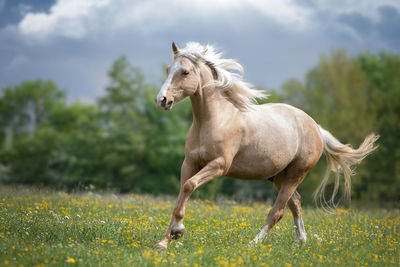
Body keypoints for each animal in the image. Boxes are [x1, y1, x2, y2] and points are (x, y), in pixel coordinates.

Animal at [154, 42, 378, 251]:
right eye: (168, 69)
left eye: (185, 72)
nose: (162, 100)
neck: (214, 119)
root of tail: (316, 127)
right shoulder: (189, 163)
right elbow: (181, 194)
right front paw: (165, 241)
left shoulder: (219, 165)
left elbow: (189, 185)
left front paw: (178, 231)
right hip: (280, 176)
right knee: (296, 202)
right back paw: (301, 241)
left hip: (296, 173)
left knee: (277, 212)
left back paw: (253, 244)